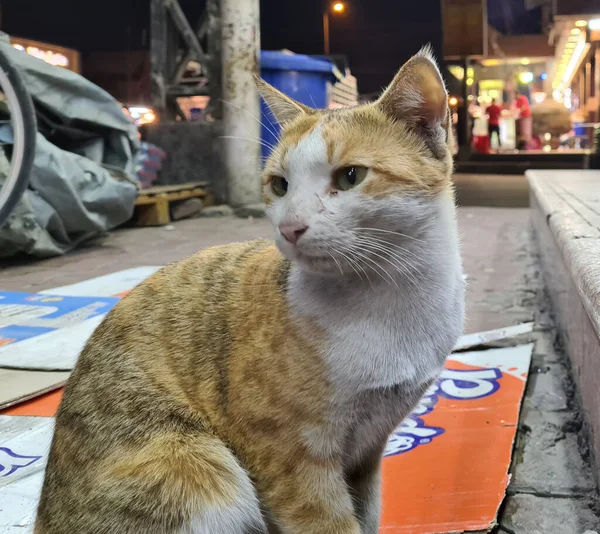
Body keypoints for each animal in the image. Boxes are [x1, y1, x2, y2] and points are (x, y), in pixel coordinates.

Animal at [34, 47, 464, 534]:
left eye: (351, 176)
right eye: (280, 185)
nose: (289, 227)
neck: (388, 293)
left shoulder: (369, 451)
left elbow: (368, 512)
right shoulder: (290, 459)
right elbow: (327, 520)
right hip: (196, 468)